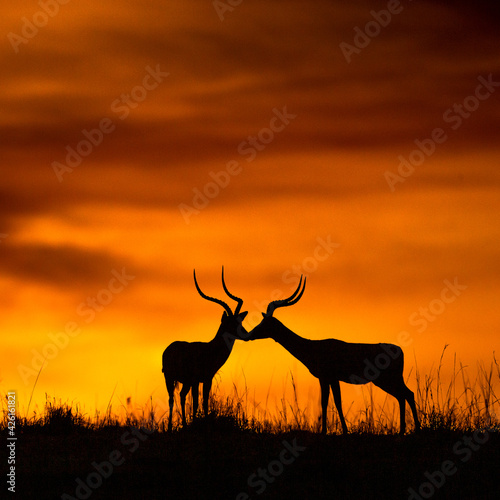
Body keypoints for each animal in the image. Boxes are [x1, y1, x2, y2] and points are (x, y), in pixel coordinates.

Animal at [162, 268, 248, 432]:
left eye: (239, 322)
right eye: (230, 323)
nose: (247, 334)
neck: (210, 349)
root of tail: (168, 349)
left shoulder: (207, 380)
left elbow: (204, 402)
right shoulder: (197, 380)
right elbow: (198, 403)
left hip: (183, 381)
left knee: (179, 396)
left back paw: (181, 425)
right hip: (170, 378)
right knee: (173, 398)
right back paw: (171, 427)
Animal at [244, 278, 420, 434]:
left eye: (264, 323)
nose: (249, 334)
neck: (312, 347)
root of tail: (399, 350)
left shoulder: (327, 377)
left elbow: (329, 403)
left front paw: (331, 431)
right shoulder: (331, 379)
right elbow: (332, 402)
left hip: (385, 379)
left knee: (406, 394)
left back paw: (412, 429)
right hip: (389, 380)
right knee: (405, 395)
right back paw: (404, 430)